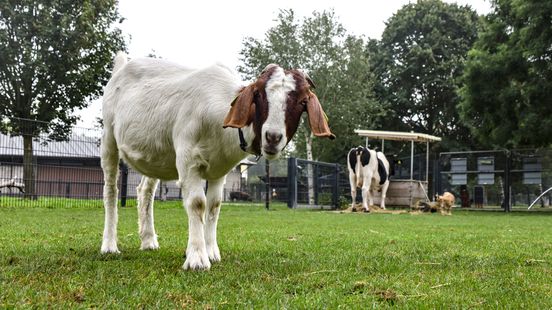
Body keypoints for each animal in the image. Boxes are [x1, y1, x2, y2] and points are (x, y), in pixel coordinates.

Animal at [99, 52, 334, 270]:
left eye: (302, 101)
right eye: (258, 94)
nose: (273, 137)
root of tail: (122, 66)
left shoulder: (221, 169)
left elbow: (214, 206)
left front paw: (211, 252)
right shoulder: (188, 160)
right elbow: (197, 204)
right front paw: (197, 258)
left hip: (156, 155)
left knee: (145, 191)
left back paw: (148, 240)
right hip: (109, 136)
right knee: (110, 190)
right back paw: (109, 246)